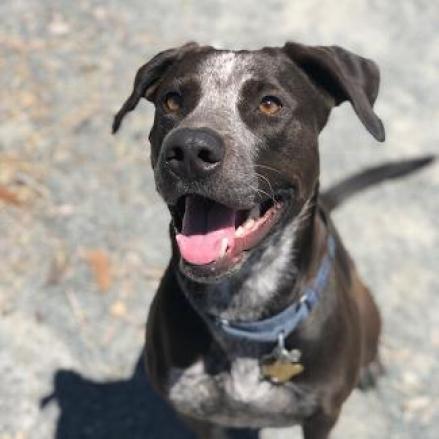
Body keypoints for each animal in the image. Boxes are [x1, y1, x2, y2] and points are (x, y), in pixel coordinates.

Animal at [111, 42, 434, 439]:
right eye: (171, 101)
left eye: (269, 104)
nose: (188, 149)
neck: (243, 311)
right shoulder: (196, 414)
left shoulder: (322, 415)